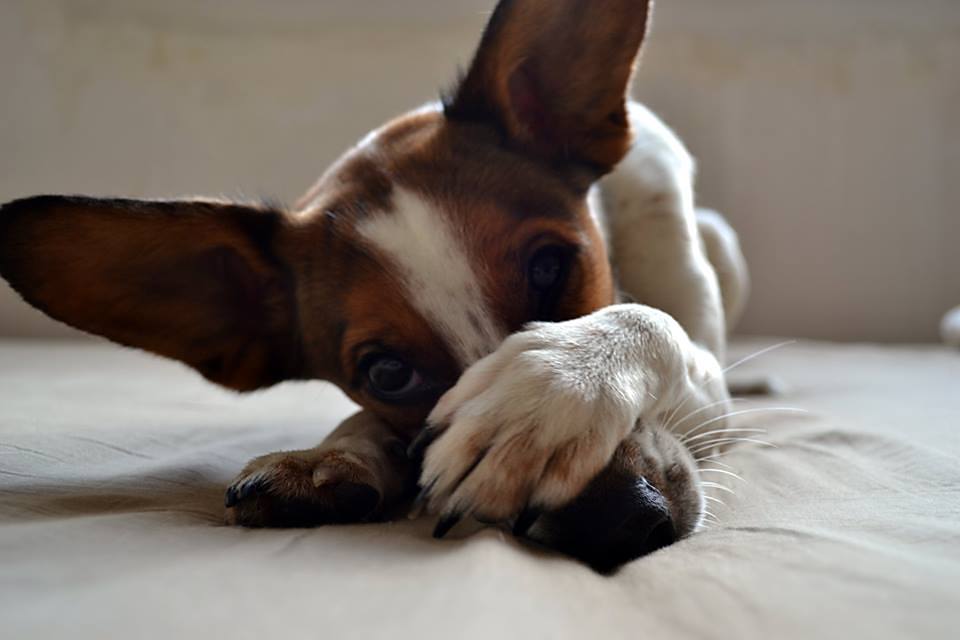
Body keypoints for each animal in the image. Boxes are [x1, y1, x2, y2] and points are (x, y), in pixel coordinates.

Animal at [0, 0, 749, 572]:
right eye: (387, 373)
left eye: (550, 267)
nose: (621, 523)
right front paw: (336, 453)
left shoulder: (708, 396)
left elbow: (649, 319)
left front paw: (551, 393)